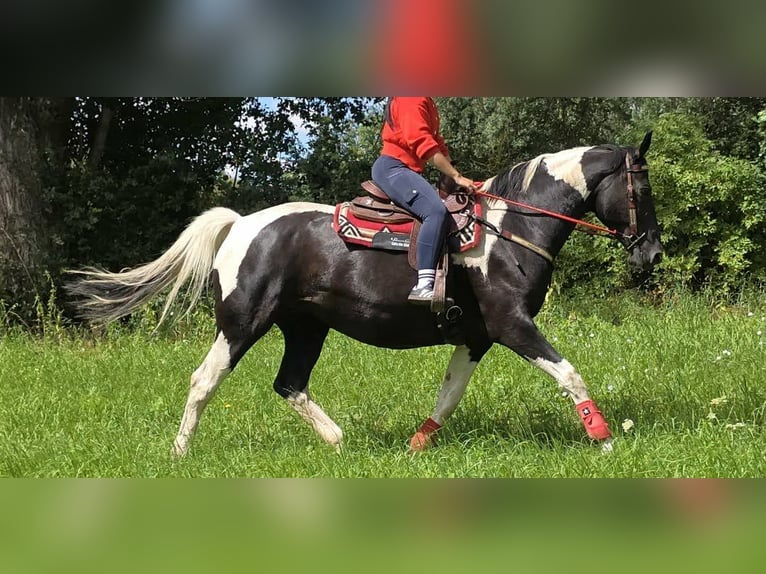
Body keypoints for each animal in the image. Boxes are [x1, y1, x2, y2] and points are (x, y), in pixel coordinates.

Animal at [67, 132, 662, 456]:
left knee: (290, 384)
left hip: (306, 327)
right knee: (204, 380)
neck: (509, 229)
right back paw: (180, 452)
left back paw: (338, 441)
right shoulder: (512, 326)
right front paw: (604, 438)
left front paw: (417, 444)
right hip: (242, 324)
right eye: (642, 187)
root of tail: (239, 225)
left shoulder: (476, 337)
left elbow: (448, 395)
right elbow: (569, 374)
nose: (652, 253)